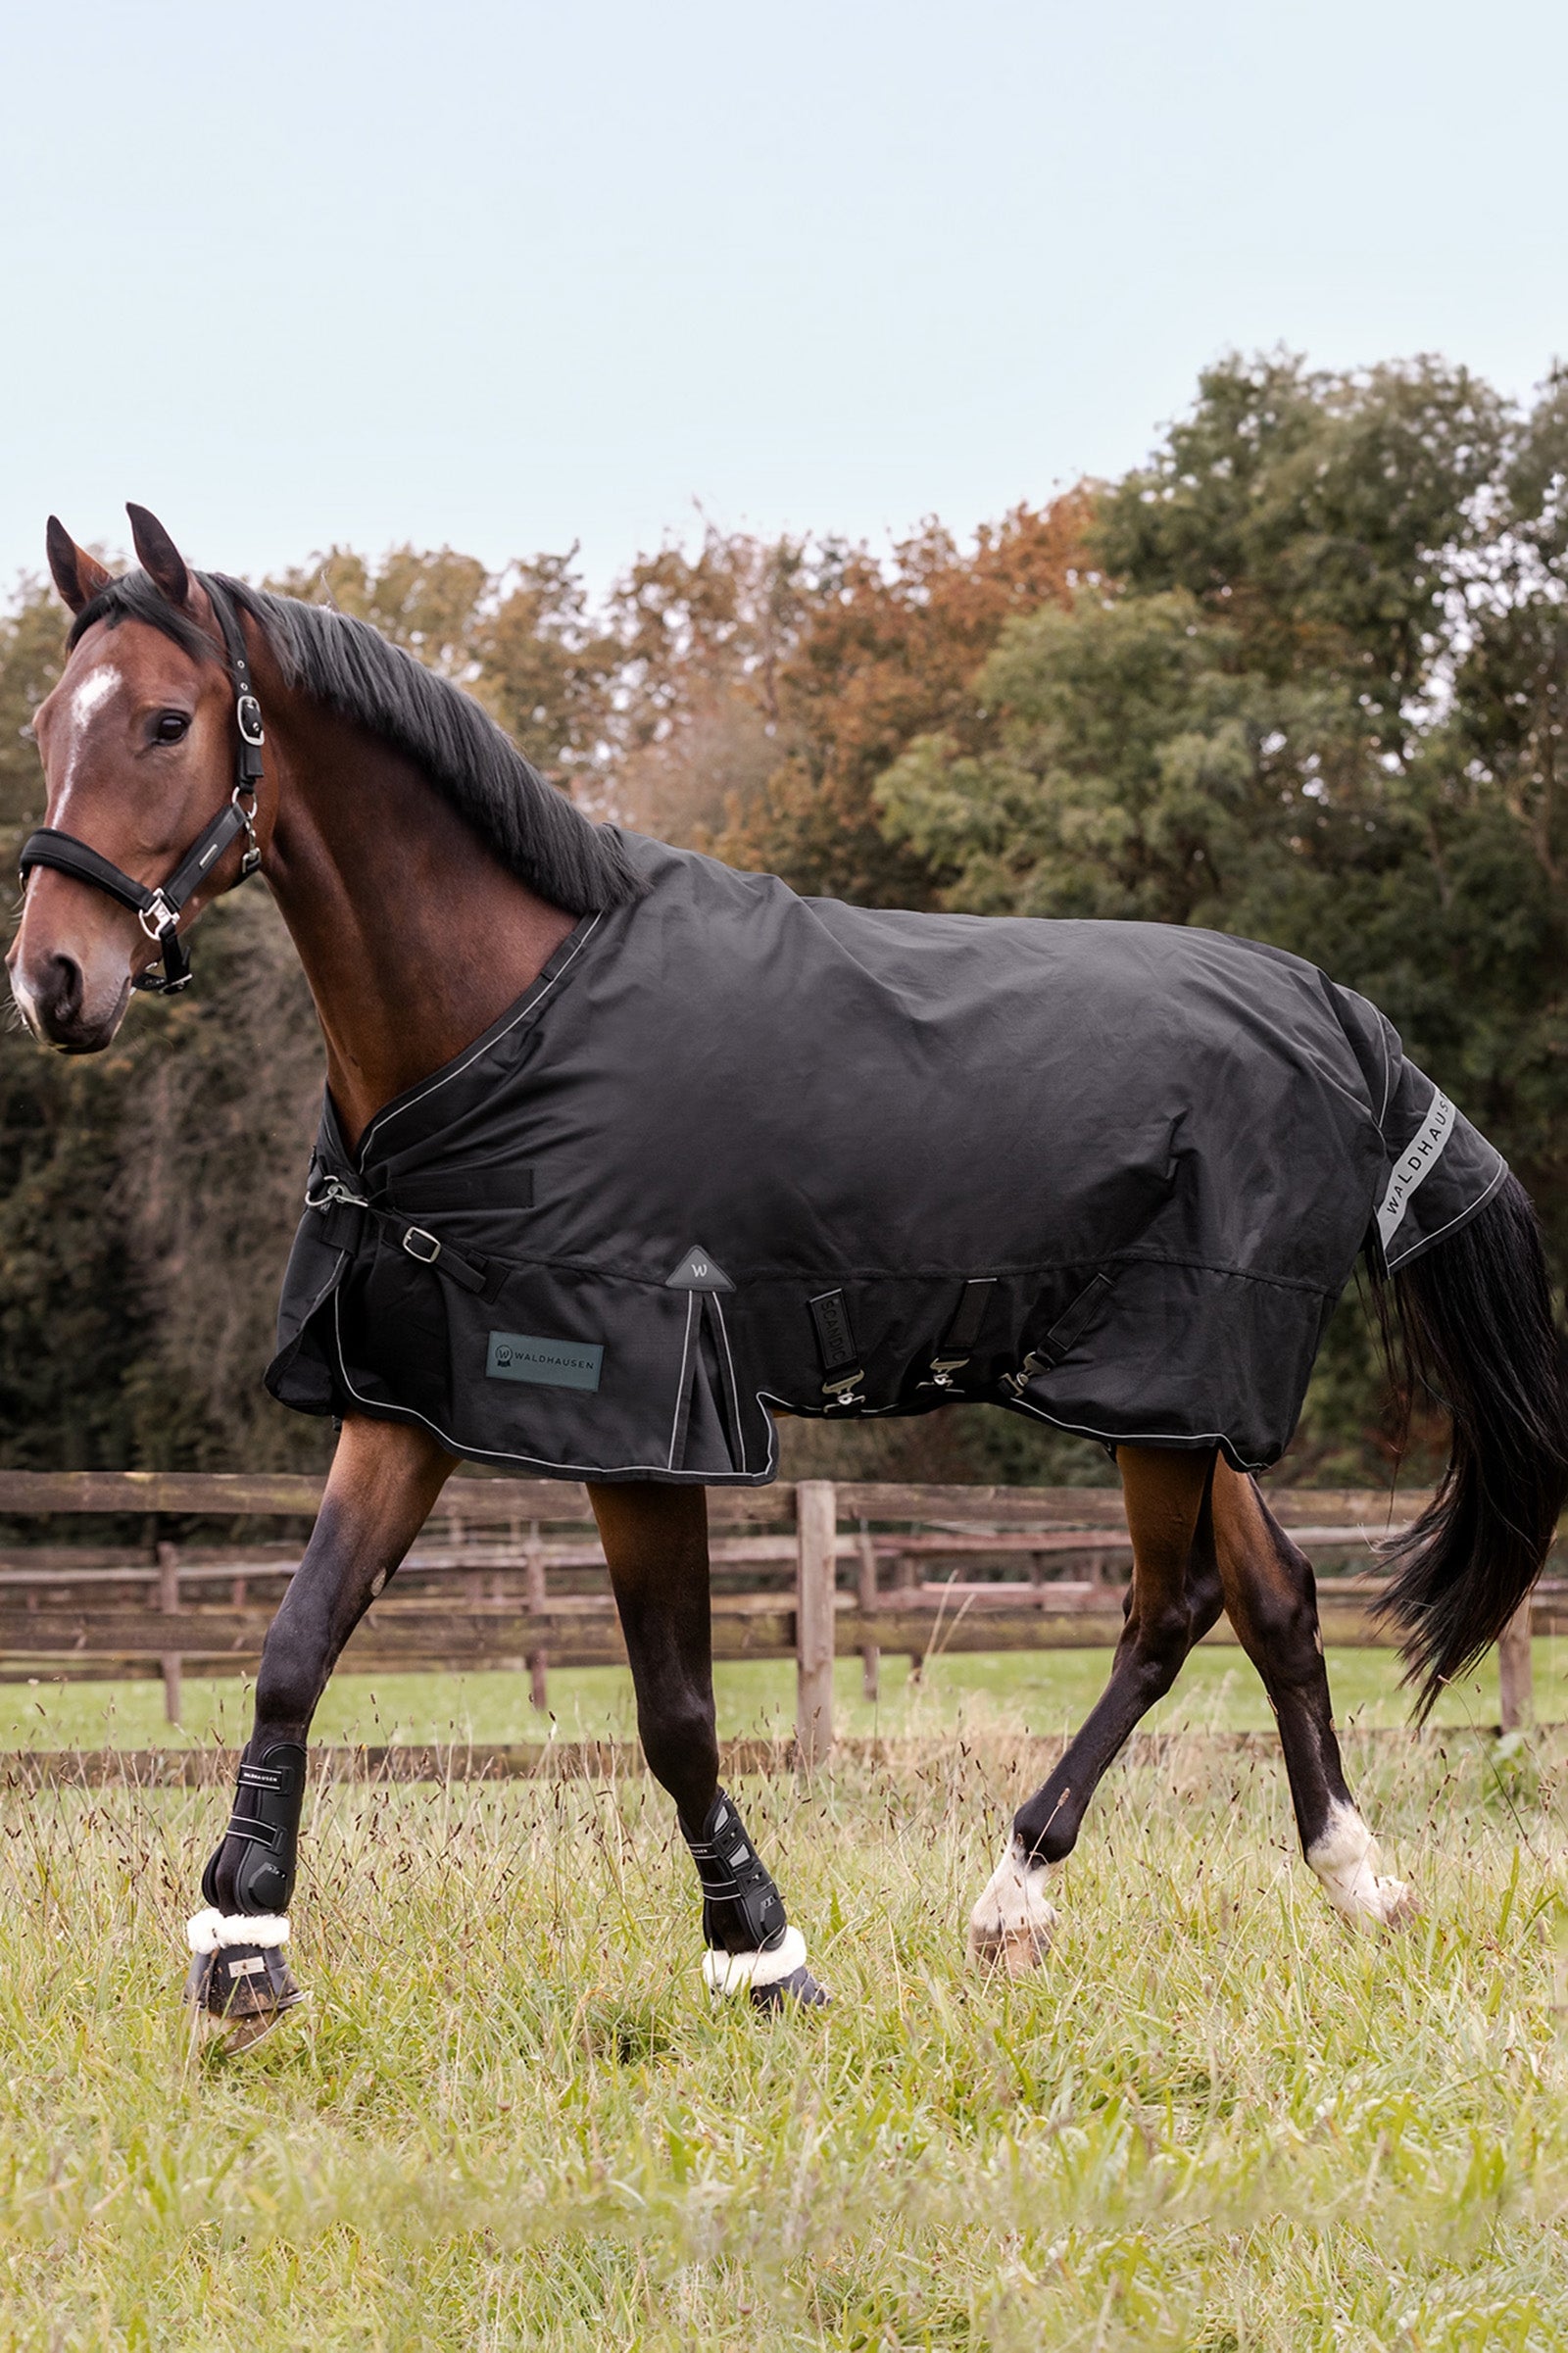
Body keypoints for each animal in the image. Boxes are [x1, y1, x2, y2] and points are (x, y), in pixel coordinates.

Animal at [11, 504, 1566, 2049]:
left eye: (165, 721)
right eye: (44, 721)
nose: (52, 983)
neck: (505, 1015)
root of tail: (1337, 1011)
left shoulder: (644, 1416)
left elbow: (676, 1713)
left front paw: (761, 1951)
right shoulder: (409, 1395)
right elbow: (296, 1644)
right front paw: (243, 1947)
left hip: (1170, 1376)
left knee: (1168, 1609)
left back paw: (1015, 1893)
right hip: (1172, 1395)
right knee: (1273, 1595)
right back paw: (1355, 1879)